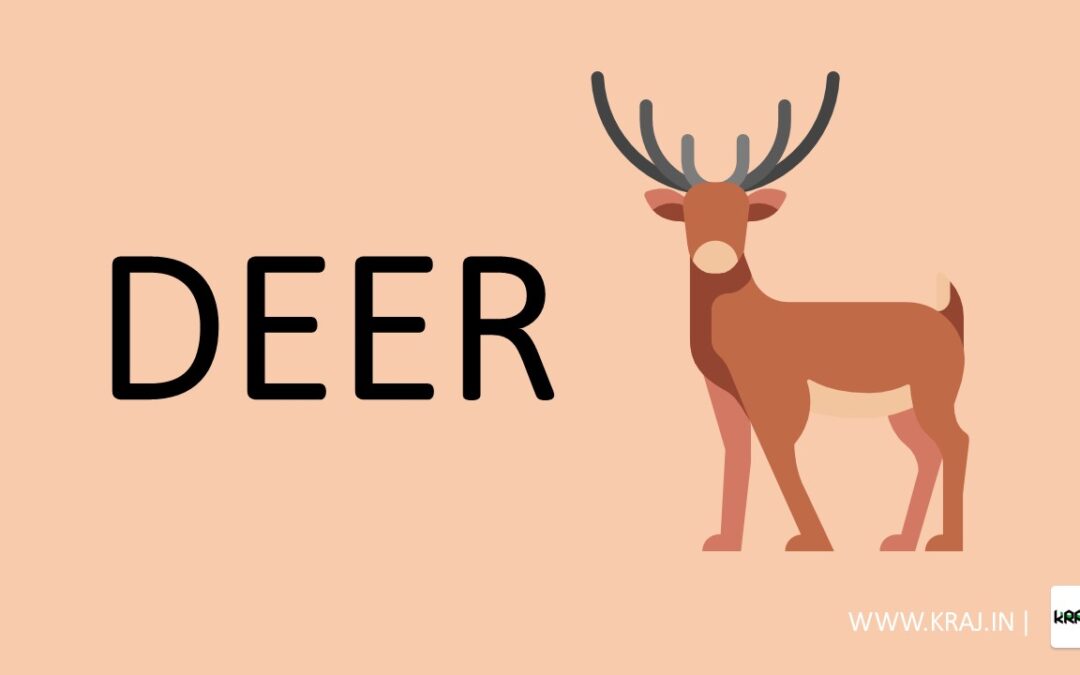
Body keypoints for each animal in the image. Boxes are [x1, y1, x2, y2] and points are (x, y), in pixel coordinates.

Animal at [590, 70, 968, 551]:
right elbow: (739, 453)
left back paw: (947, 541)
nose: (715, 252)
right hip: (904, 410)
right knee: (927, 452)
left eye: (744, 213)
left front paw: (814, 542)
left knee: (957, 442)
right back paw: (902, 541)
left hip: (932, 397)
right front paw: (726, 542)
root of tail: (950, 318)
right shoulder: (725, 395)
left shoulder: (778, 394)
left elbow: (779, 456)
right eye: (689, 213)